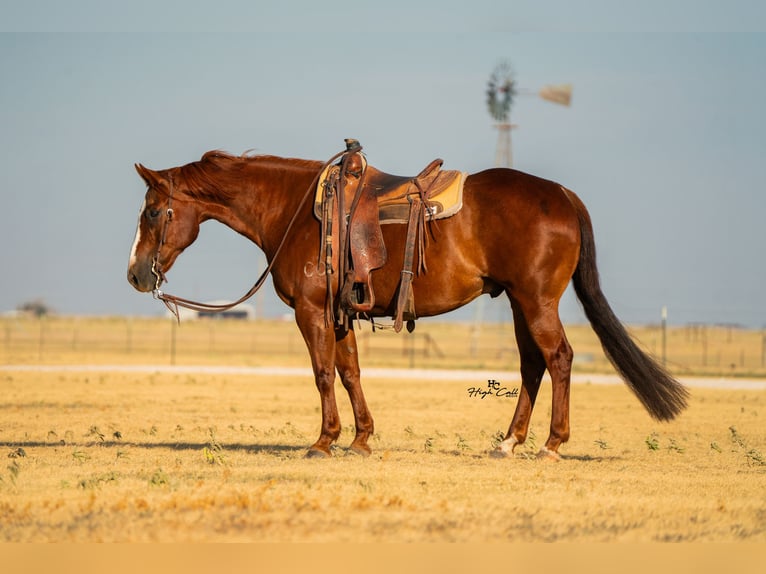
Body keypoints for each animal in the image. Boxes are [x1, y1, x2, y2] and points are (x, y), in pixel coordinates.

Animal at [127, 146, 688, 460]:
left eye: (152, 212)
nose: (135, 273)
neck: (295, 210)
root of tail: (564, 196)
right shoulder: (340, 314)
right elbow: (350, 371)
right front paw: (360, 439)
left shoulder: (311, 311)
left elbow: (323, 373)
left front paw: (323, 441)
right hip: (519, 303)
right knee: (533, 365)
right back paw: (509, 442)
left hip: (536, 301)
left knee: (559, 358)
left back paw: (552, 444)